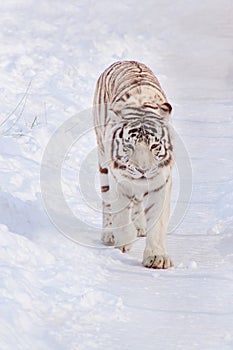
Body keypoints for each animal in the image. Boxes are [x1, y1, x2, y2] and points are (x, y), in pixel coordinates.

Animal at [93, 60, 173, 268]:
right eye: (129, 145)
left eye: (154, 145)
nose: (142, 170)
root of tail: (124, 60)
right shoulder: (119, 180)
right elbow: (120, 213)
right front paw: (124, 242)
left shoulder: (160, 182)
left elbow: (157, 222)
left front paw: (156, 257)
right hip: (103, 163)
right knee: (107, 203)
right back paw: (109, 235)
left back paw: (141, 227)